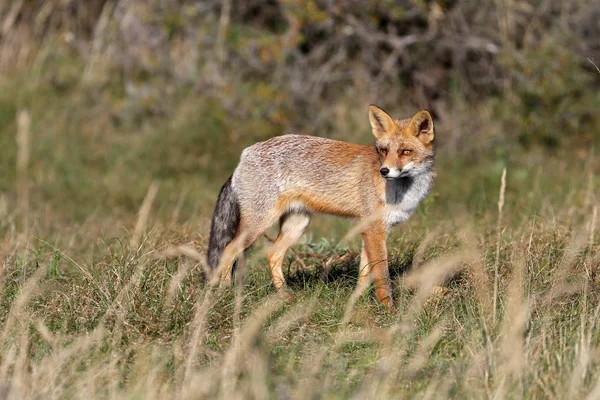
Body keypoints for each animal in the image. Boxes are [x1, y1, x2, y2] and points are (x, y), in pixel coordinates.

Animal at [209, 105, 434, 310]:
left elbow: (364, 275)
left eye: (406, 152)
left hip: (297, 225)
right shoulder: (374, 230)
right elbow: (382, 276)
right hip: (258, 224)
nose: (384, 171)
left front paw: (355, 305)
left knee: (272, 255)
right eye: (384, 151)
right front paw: (389, 311)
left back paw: (285, 297)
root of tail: (244, 154)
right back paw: (224, 292)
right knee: (229, 250)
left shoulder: (370, 231)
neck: (402, 191)